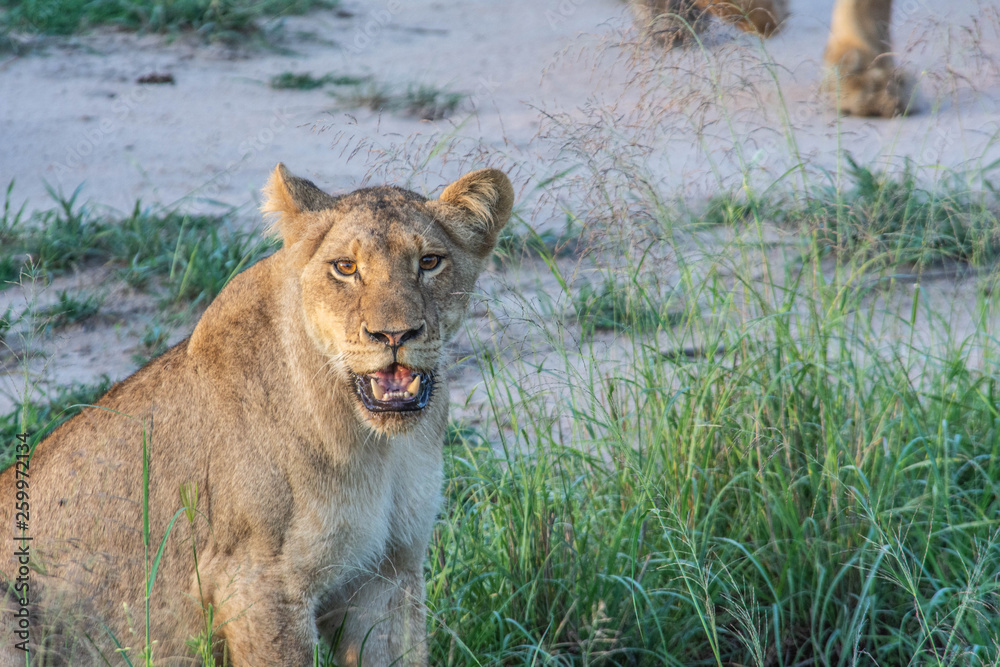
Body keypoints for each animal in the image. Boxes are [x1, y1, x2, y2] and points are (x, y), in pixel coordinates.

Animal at [0, 165, 514, 666]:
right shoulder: (256, 582)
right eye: (345, 267)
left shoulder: (389, 574)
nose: (394, 334)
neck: (378, 446)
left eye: (429, 262)